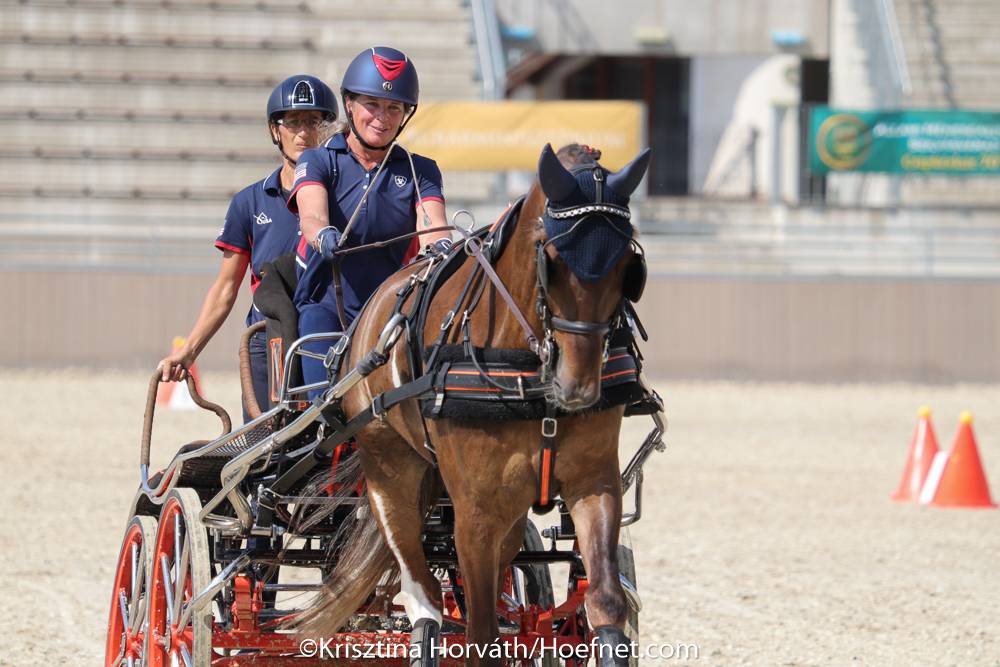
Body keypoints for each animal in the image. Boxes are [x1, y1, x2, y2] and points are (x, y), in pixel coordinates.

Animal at [300, 142, 652, 666]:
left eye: (629, 263)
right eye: (550, 257)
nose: (578, 387)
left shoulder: (594, 482)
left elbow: (606, 600)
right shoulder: (476, 510)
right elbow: (480, 632)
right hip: (389, 467)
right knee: (421, 589)